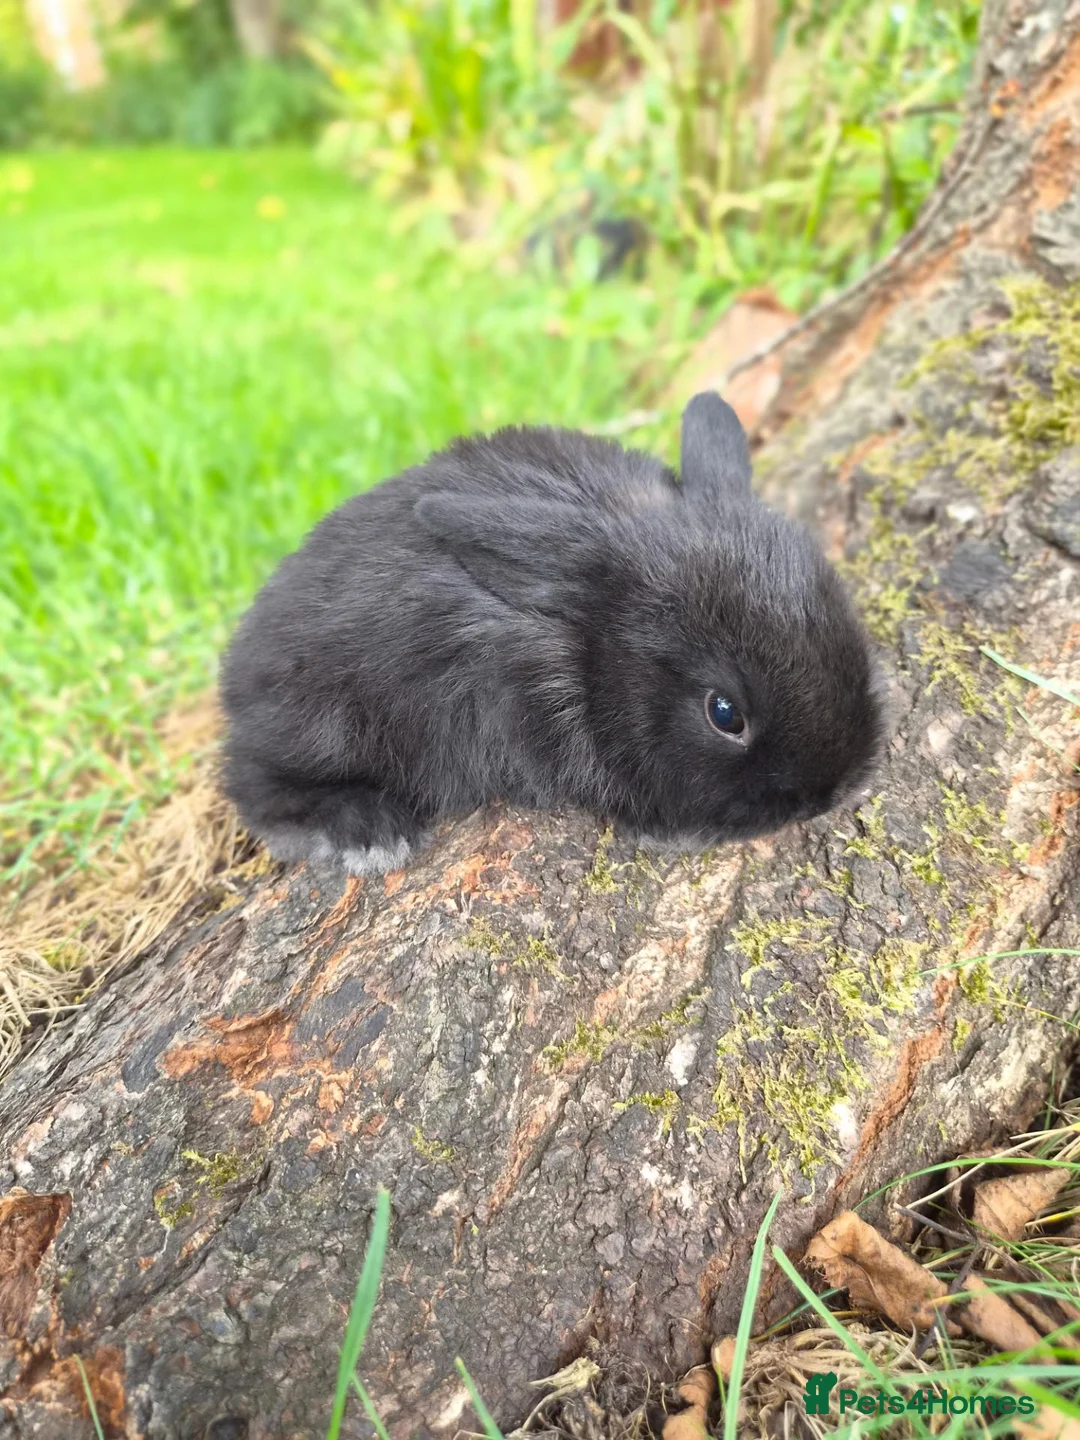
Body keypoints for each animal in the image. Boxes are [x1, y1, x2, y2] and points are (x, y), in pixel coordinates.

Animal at [219, 392, 886, 875]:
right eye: (724, 713)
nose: (828, 795)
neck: (584, 647)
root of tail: (237, 675)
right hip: (326, 725)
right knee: (254, 785)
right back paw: (367, 831)